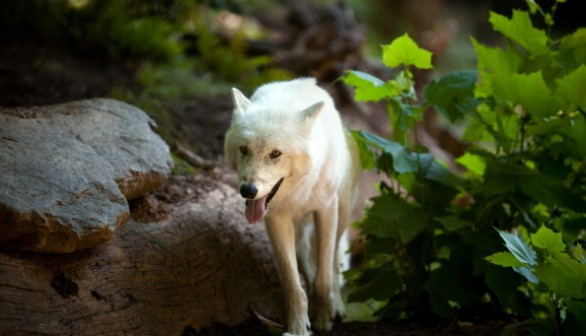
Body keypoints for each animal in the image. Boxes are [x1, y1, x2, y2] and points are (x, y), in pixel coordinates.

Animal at [224, 77, 360, 334]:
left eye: (275, 153)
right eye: (244, 149)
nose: (248, 190)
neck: (297, 192)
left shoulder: (326, 211)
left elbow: (324, 277)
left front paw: (323, 319)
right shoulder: (276, 221)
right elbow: (293, 284)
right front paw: (298, 328)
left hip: (342, 213)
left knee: (334, 262)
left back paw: (336, 305)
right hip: (298, 231)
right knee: (306, 258)